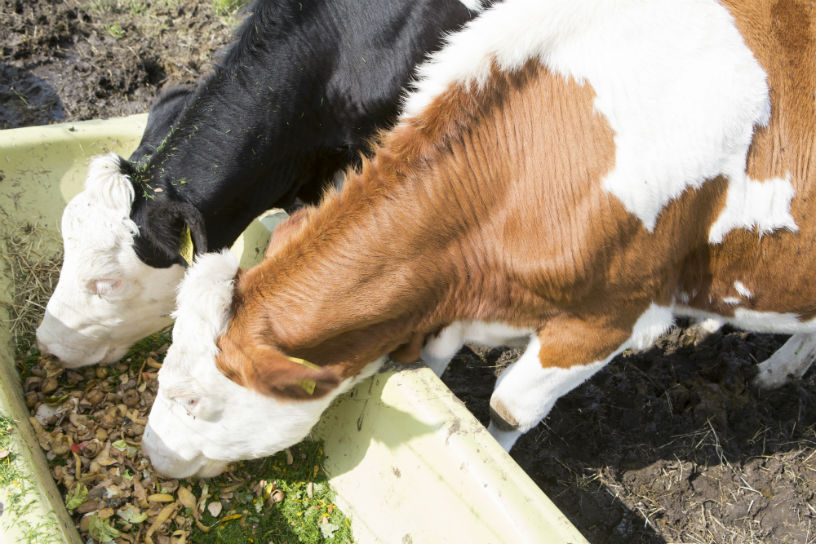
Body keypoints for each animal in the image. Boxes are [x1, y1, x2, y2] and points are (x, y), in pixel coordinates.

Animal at [143, 0, 812, 476]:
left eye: (192, 401)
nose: (151, 453)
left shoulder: (607, 318)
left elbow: (507, 407)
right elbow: (437, 367)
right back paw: (773, 367)